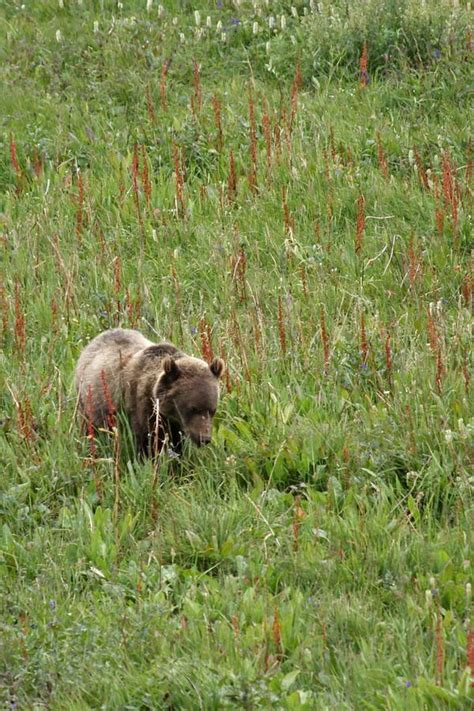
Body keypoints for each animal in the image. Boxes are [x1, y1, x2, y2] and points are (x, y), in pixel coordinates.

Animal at [74, 328, 226, 456]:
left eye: (212, 410)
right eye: (193, 408)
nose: (204, 438)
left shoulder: (174, 423)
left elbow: (176, 443)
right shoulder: (139, 404)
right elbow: (148, 439)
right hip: (90, 400)